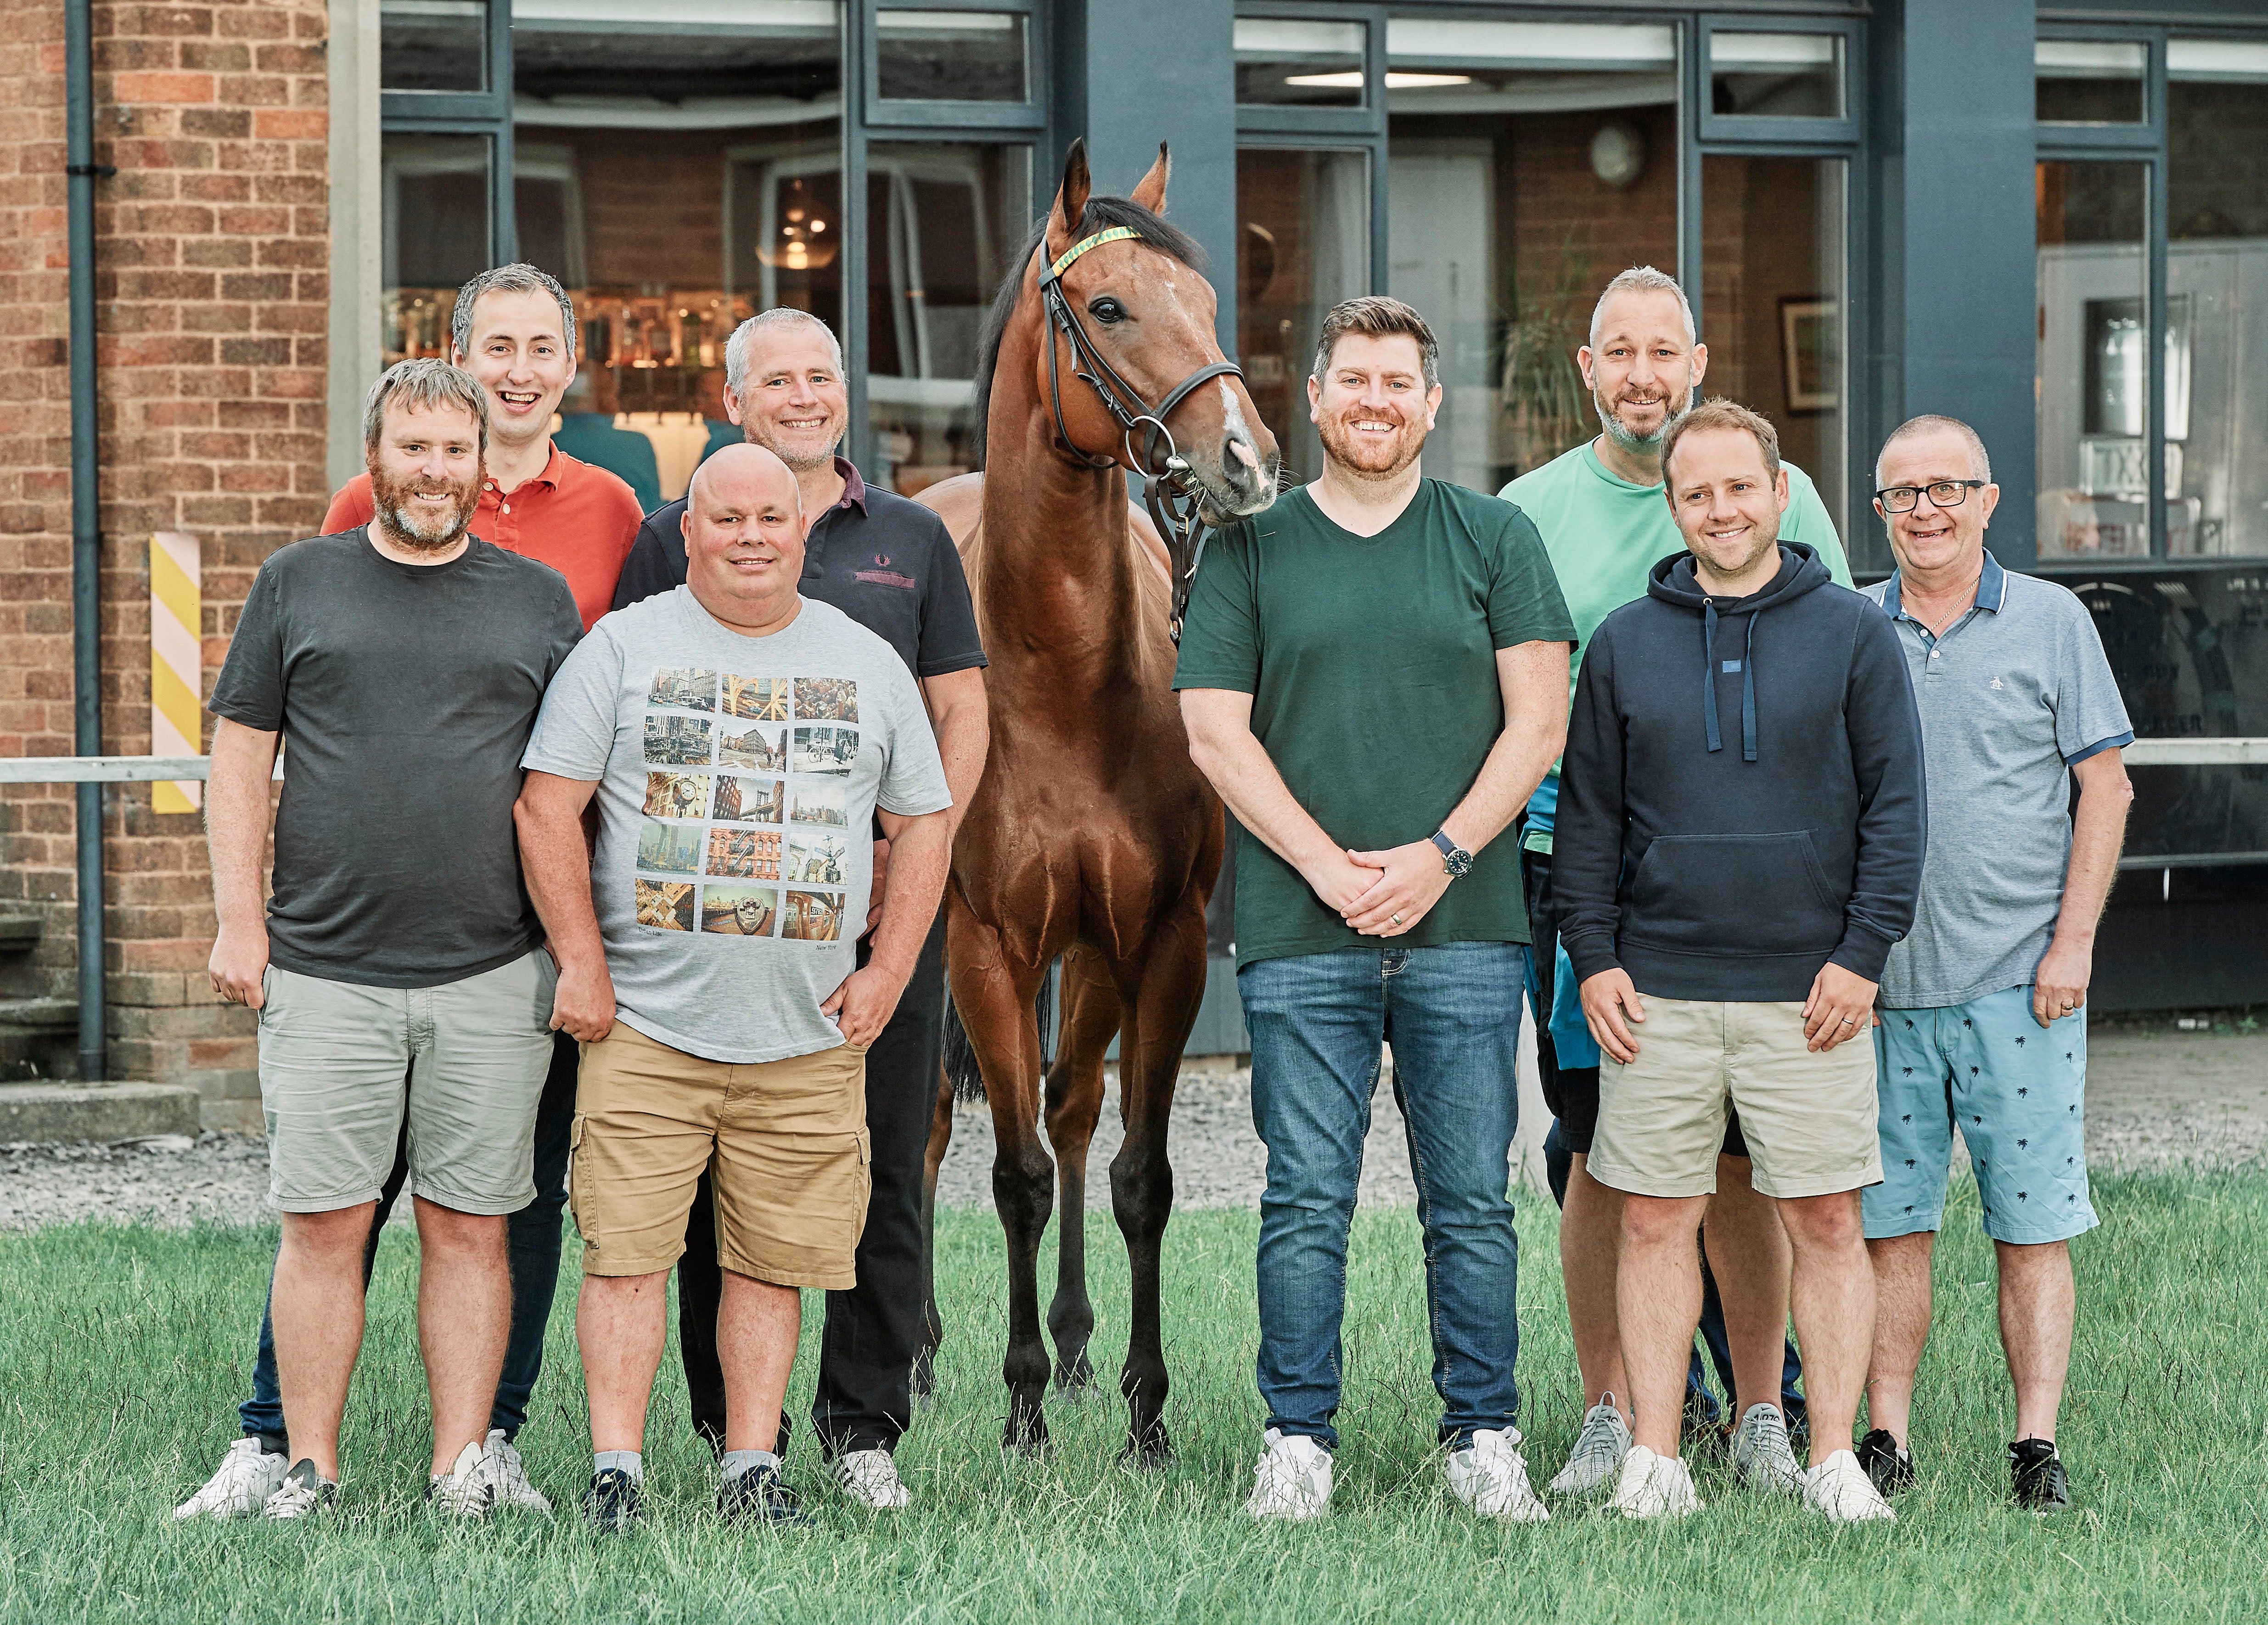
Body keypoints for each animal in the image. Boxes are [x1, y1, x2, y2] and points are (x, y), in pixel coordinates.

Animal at [916, 139, 1288, 1462]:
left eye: (1213, 304)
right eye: (1112, 306)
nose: (1248, 460)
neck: (1060, 682)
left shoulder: (1159, 942)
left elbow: (1136, 1173)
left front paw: (1142, 1413)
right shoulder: (984, 944)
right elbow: (1013, 1172)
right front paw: (1020, 1409)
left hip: (1088, 958)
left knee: (1074, 1111)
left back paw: (1077, 1350)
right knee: (932, 1126)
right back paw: (925, 1352)